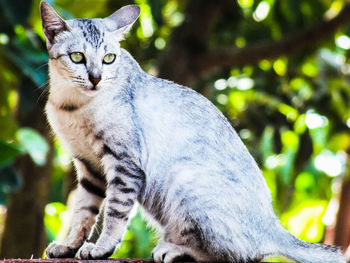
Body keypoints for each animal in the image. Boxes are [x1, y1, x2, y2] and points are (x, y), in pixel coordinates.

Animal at [39, 2, 346, 263]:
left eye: (109, 58)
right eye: (77, 57)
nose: (96, 78)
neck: (71, 107)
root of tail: (273, 226)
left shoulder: (125, 163)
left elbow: (115, 213)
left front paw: (101, 248)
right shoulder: (88, 166)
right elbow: (83, 213)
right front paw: (68, 246)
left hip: (186, 181)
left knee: (237, 254)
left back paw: (174, 250)